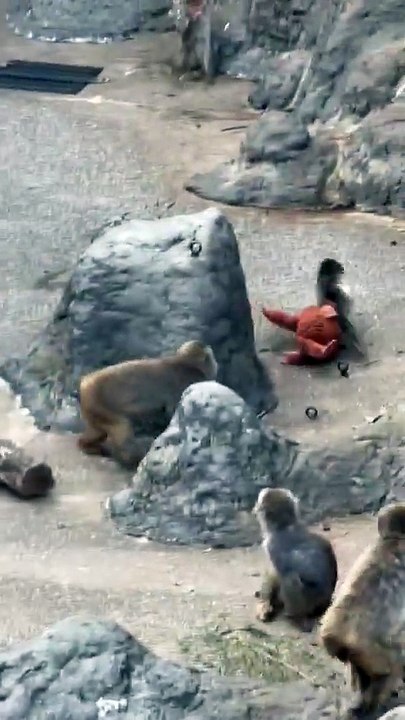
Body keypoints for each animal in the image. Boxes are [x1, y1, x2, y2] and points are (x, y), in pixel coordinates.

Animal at [77, 340, 218, 466]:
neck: (187, 363)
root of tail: (85, 383)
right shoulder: (188, 383)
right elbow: (174, 411)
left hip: (93, 407)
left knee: (98, 430)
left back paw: (87, 444)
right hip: (98, 403)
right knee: (121, 427)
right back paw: (131, 458)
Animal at [253, 487, 338, 630]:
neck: (285, 525)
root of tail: (324, 605)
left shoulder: (272, 544)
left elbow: (277, 574)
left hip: (311, 604)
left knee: (290, 578)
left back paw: (296, 618)